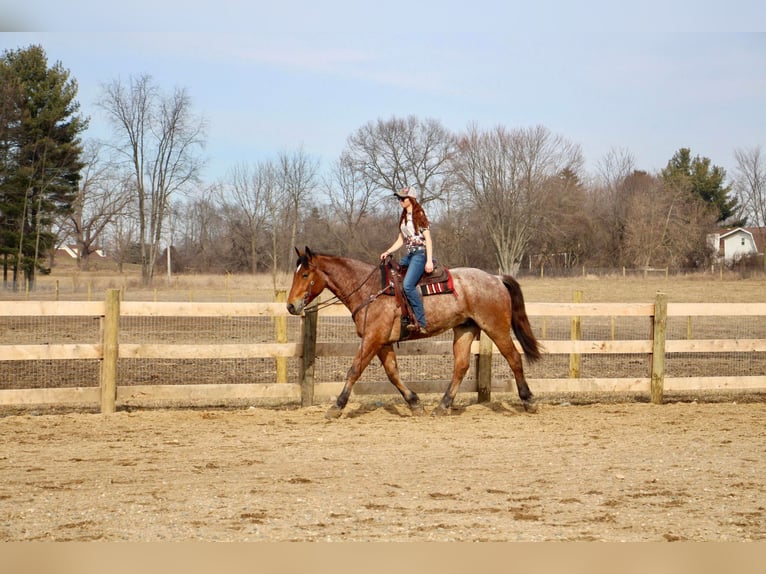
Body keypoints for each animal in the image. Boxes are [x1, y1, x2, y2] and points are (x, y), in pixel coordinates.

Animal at [284, 246, 544, 418]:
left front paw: (337, 406)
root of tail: (496, 278)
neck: (371, 290)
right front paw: (414, 402)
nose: (291, 306)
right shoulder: (383, 342)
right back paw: (443, 405)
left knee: (514, 358)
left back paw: (529, 400)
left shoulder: (372, 339)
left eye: (305, 274)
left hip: (496, 327)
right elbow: (392, 373)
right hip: (465, 329)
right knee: (461, 366)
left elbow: (354, 370)